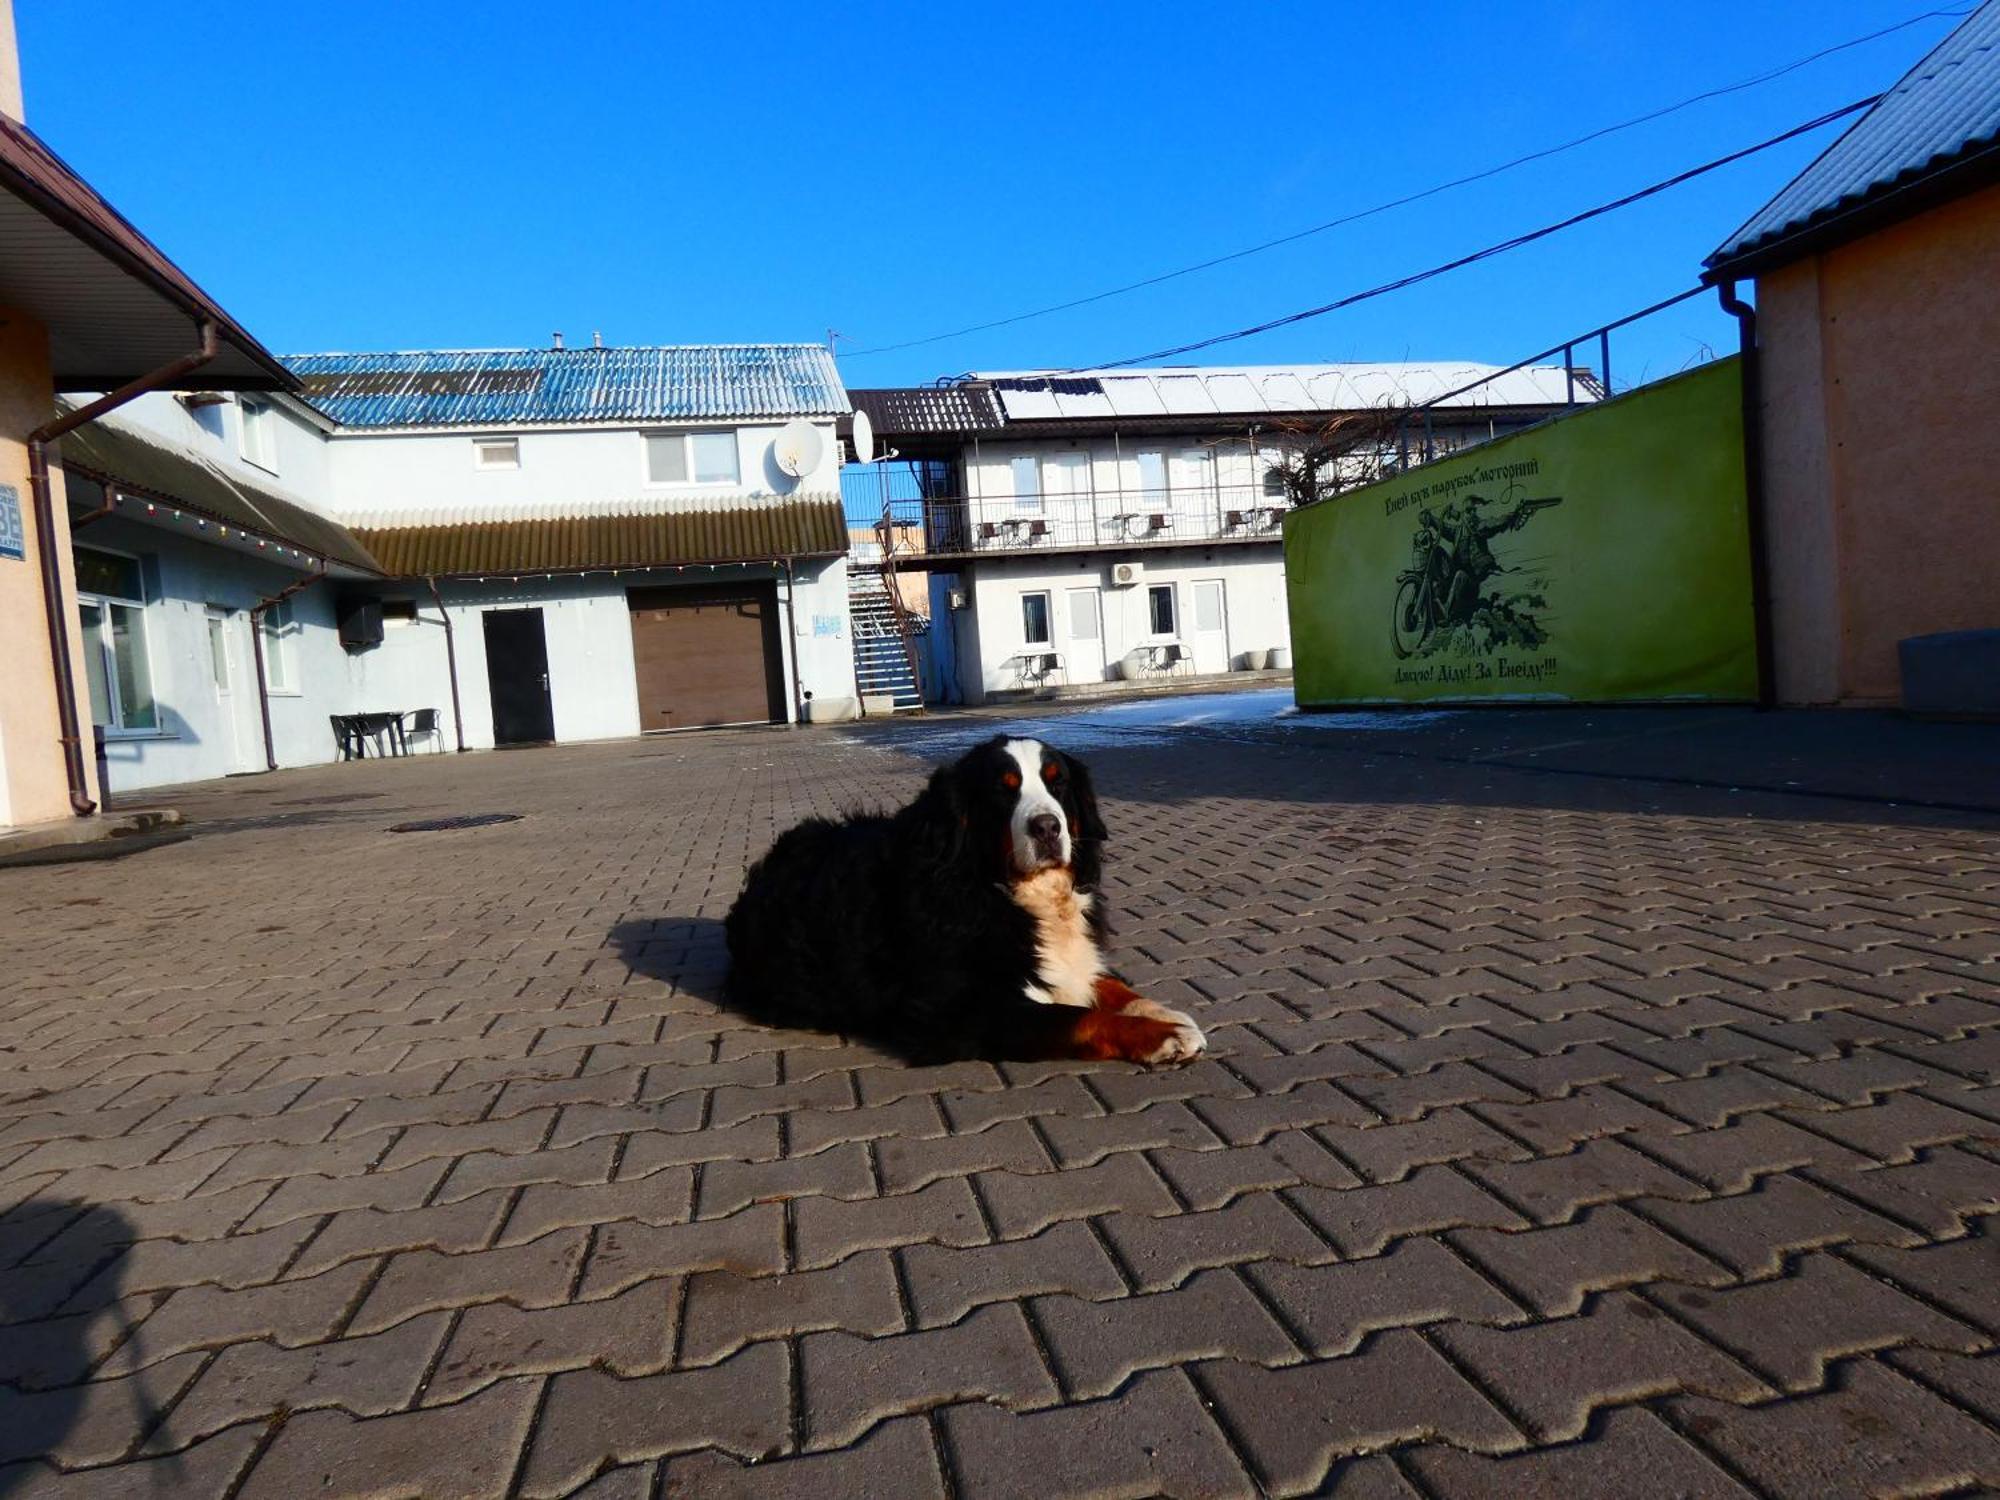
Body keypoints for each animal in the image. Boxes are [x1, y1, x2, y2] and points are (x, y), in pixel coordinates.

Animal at [724, 736, 1200, 1072]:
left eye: (1057, 782)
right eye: (1004, 791)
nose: (1047, 827)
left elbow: (1108, 984)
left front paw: (1166, 1015)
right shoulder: (959, 1011)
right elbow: (1077, 1018)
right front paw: (1159, 1036)